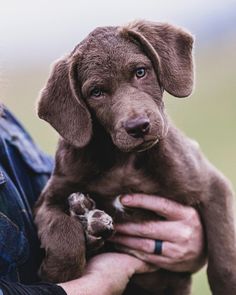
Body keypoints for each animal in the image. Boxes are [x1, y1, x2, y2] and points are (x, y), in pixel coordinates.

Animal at [34, 19, 236, 294]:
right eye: (96, 92)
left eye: (140, 72)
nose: (138, 127)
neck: (124, 161)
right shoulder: (48, 199)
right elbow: (64, 237)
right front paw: (56, 272)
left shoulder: (212, 185)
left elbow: (223, 255)